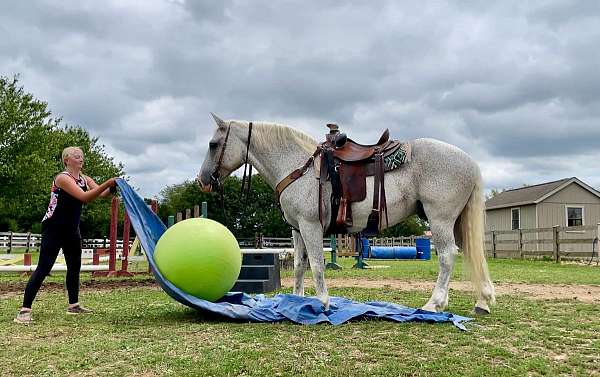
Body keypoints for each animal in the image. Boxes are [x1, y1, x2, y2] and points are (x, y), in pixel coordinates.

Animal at [199, 115, 494, 314]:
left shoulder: (311, 226)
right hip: (457, 222)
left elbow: (316, 264)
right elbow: (299, 266)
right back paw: (482, 302)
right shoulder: (296, 229)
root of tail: (470, 161)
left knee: (447, 256)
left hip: (441, 220)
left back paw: (434, 304)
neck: (298, 167)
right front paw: (296, 302)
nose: (202, 181)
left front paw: (323, 303)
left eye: (213, 144)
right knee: (472, 253)